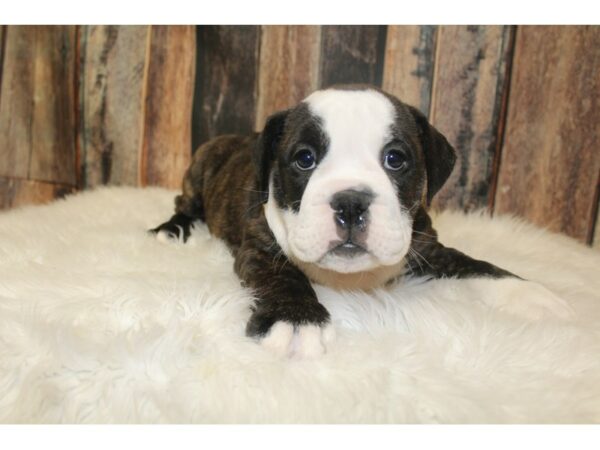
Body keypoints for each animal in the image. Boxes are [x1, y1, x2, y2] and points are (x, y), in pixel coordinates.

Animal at [151, 84, 572, 358]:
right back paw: (172, 230)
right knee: (184, 203)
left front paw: (527, 294)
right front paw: (296, 319)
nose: (351, 202)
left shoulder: (429, 249)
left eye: (395, 159)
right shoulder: (260, 248)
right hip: (200, 166)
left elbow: (475, 265)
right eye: (304, 159)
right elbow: (284, 277)